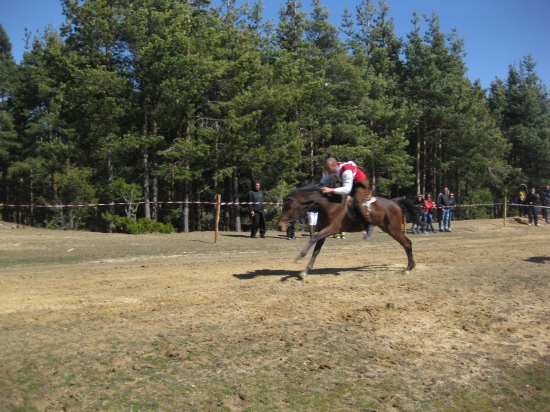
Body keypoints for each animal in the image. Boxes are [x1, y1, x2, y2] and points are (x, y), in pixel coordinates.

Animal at [277, 183, 424, 279]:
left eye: (290, 206)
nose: (280, 226)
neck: (328, 205)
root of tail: (394, 202)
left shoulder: (332, 229)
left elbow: (313, 238)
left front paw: (299, 258)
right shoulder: (324, 231)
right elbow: (316, 250)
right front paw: (306, 271)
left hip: (393, 229)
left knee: (407, 243)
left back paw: (408, 268)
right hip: (389, 228)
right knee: (407, 243)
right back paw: (412, 265)